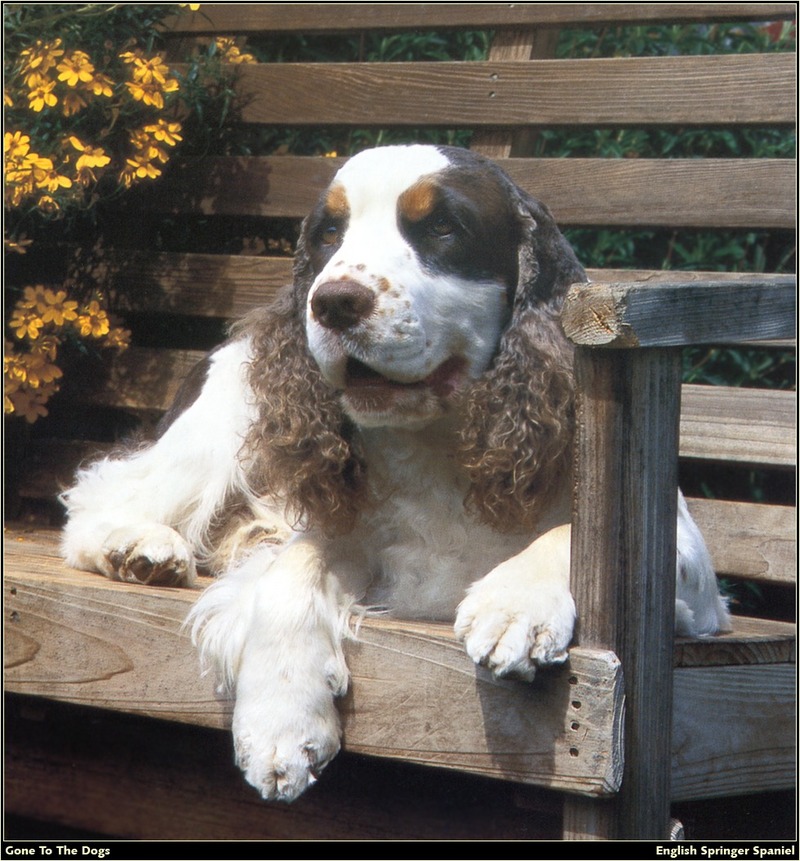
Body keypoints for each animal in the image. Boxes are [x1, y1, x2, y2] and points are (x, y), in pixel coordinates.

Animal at [59, 146, 728, 800]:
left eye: (442, 227)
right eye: (329, 232)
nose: (333, 301)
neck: (439, 446)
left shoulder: (691, 576)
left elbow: (575, 536)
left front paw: (513, 608)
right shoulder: (345, 535)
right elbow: (291, 573)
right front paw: (280, 728)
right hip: (217, 434)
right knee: (98, 498)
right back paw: (138, 548)